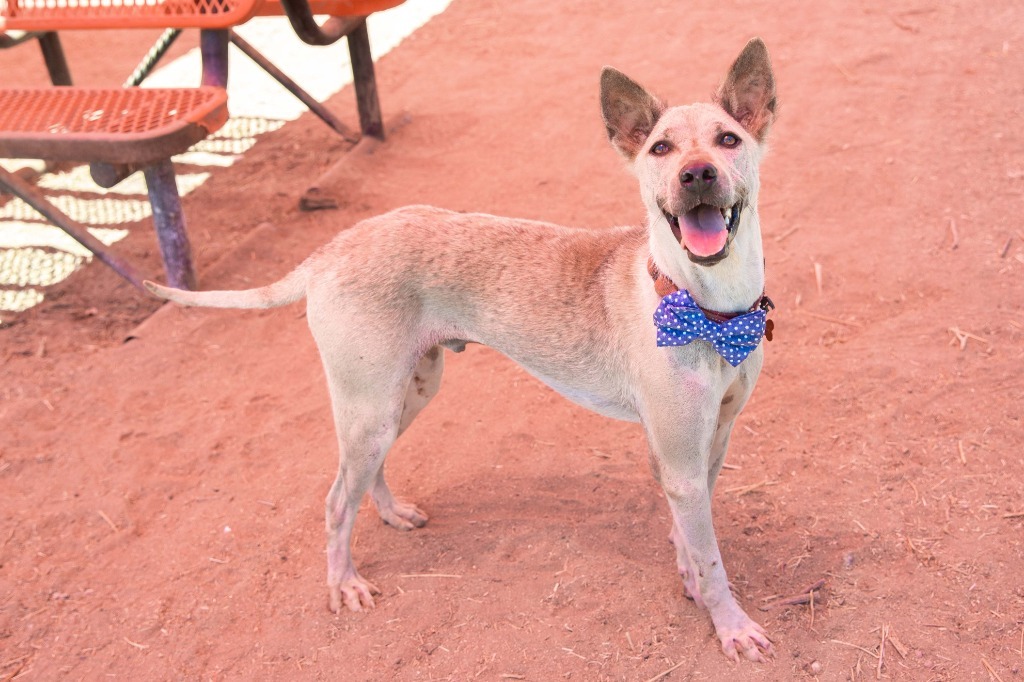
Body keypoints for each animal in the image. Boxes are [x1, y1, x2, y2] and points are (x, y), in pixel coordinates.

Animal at [146, 37, 774, 659]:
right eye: (660, 148)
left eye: (728, 139)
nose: (696, 174)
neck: (708, 307)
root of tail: (332, 249)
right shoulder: (680, 461)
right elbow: (712, 561)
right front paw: (731, 627)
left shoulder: (710, 444)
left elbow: (689, 538)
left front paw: (688, 577)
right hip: (370, 405)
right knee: (334, 501)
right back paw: (343, 582)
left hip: (404, 394)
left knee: (361, 476)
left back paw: (392, 512)